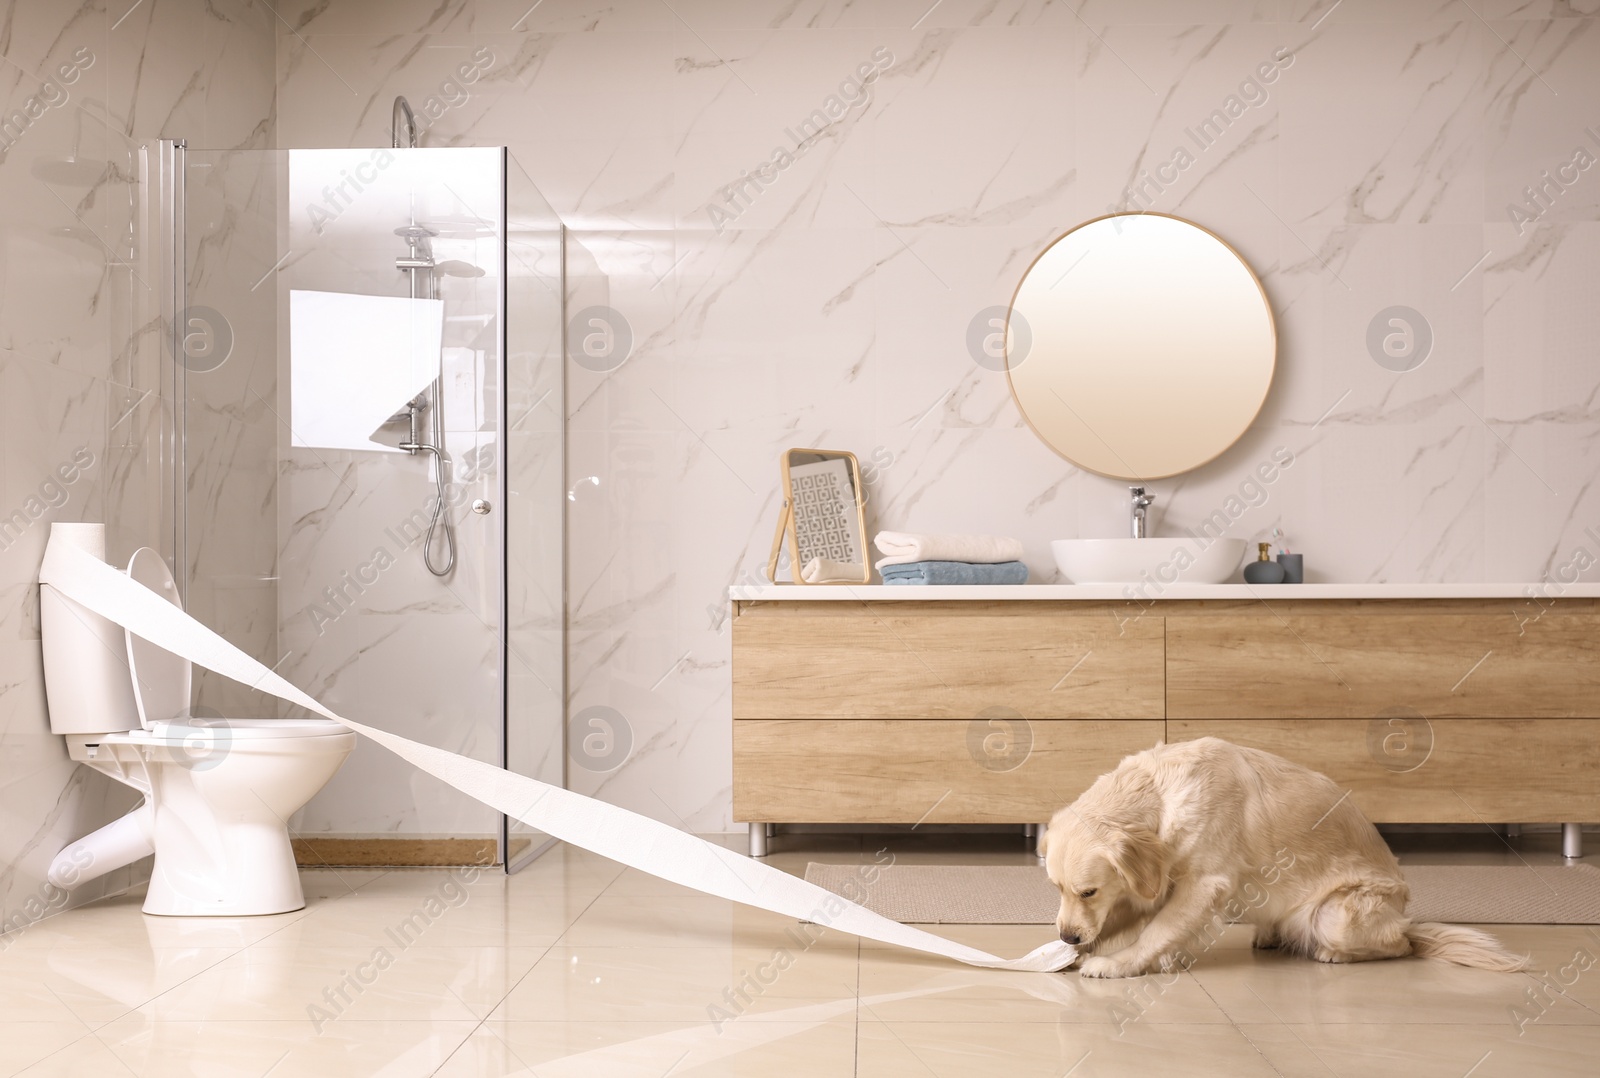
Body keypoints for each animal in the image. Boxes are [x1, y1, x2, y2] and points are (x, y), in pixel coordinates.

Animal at [1043, 738, 1529, 972]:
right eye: (1058, 889)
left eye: (1088, 891)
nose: (1067, 936)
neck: (1160, 795)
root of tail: (1405, 914)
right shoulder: (1154, 883)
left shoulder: (1204, 884)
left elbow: (1157, 931)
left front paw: (1115, 964)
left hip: (1338, 914)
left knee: (1401, 944)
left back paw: (1337, 954)